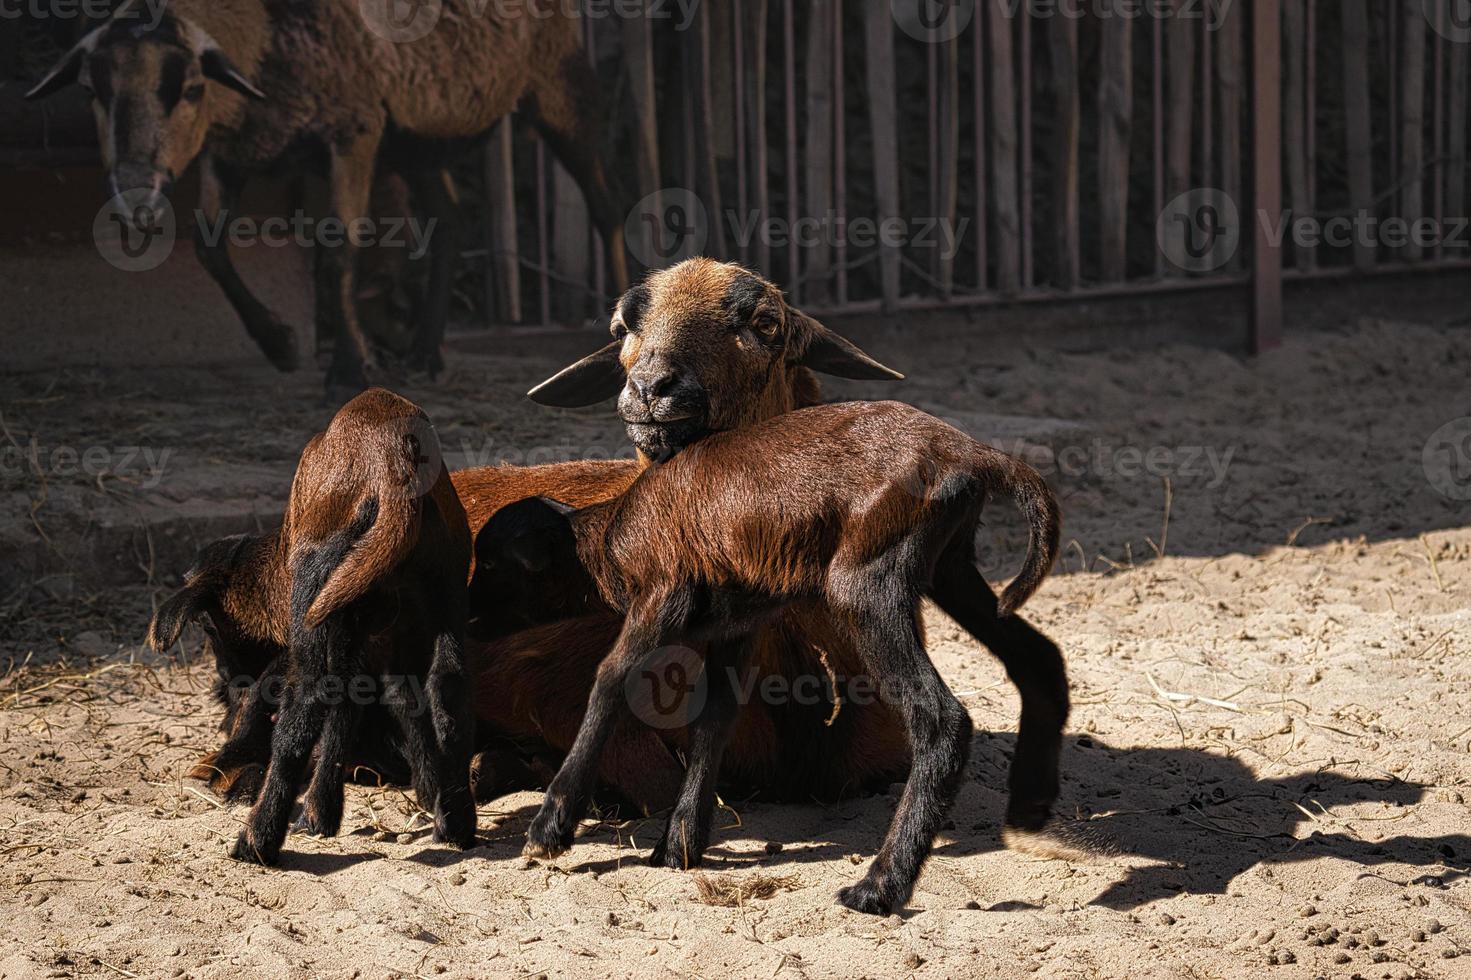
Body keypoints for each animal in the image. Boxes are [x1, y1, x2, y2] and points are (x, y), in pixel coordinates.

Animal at [155, 388, 476, 865]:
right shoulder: (376, 639)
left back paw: (257, 840)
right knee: (448, 689)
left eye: (210, 628)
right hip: (445, 585)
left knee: (304, 708)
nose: (226, 681)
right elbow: (380, 703)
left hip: (320, 589)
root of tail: (392, 459)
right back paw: (457, 824)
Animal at [476, 400, 1065, 918]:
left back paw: (878, 888)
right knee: (1040, 662)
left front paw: (550, 828)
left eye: (489, 564)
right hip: (951, 566)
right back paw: (1030, 813)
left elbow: (610, 681)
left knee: (942, 719)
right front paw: (680, 844)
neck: (606, 547)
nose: (465, 619)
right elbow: (713, 718)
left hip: (868, 578)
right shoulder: (734, 623)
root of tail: (971, 453)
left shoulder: (661, 595)